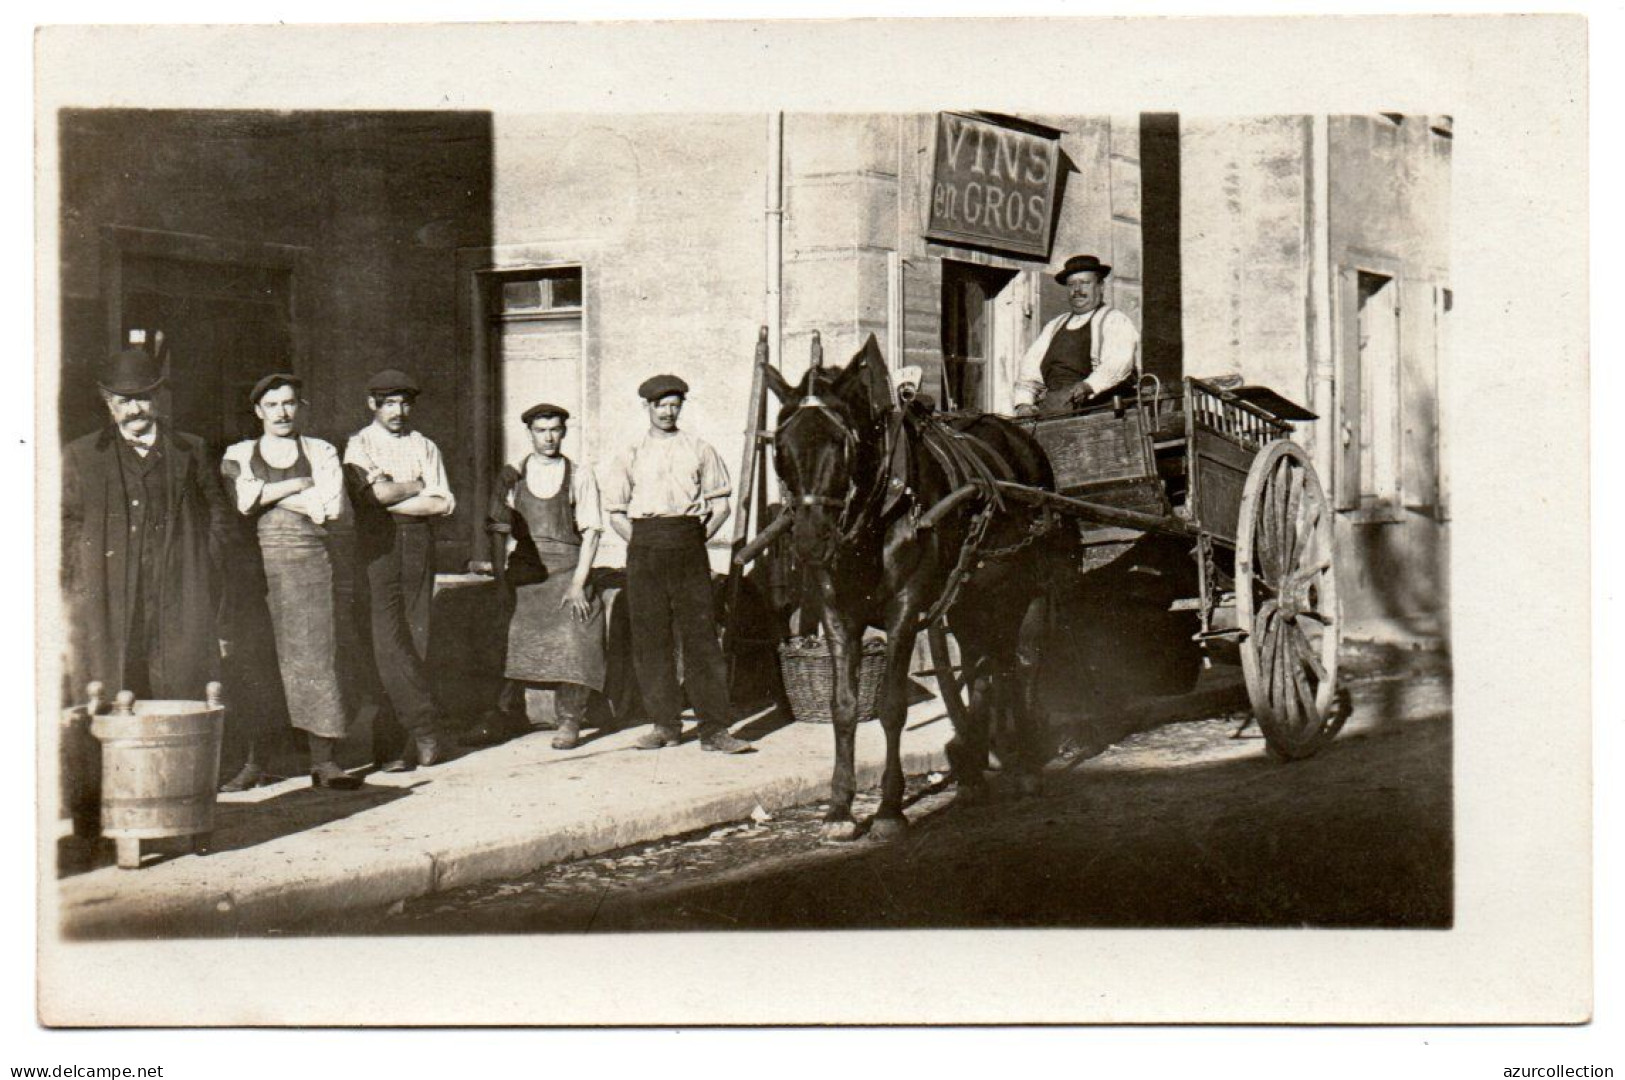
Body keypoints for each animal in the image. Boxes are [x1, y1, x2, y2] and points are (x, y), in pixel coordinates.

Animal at [763, 332, 1079, 838]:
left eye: (843, 444)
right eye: (780, 449)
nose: (811, 541)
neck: (880, 508)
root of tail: (1020, 438)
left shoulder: (906, 608)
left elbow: (892, 705)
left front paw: (890, 808)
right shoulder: (837, 612)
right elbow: (843, 705)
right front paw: (839, 808)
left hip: (1030, 586)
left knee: (1022, 663)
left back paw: (1026, 764)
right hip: (970, 594)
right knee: (983, 668)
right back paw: (975, 771)